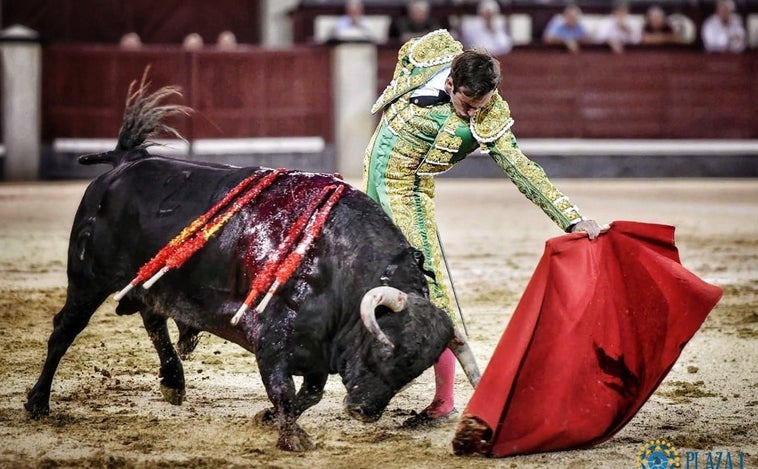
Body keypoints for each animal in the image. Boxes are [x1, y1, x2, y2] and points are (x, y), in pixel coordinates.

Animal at [25, 77, 480, 450]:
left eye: (413, 371)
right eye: (387, 351)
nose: (363, 412)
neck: (341, 269)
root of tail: (125, 163)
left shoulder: (317, 351)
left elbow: (308, 393)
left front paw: (269, 420)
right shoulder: (272, 341)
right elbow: (282, 388)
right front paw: (292, 439)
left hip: (151, 278)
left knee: (153, 318)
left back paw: (173, 382)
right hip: (88, 279)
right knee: (64, 330)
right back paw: (37, 403)